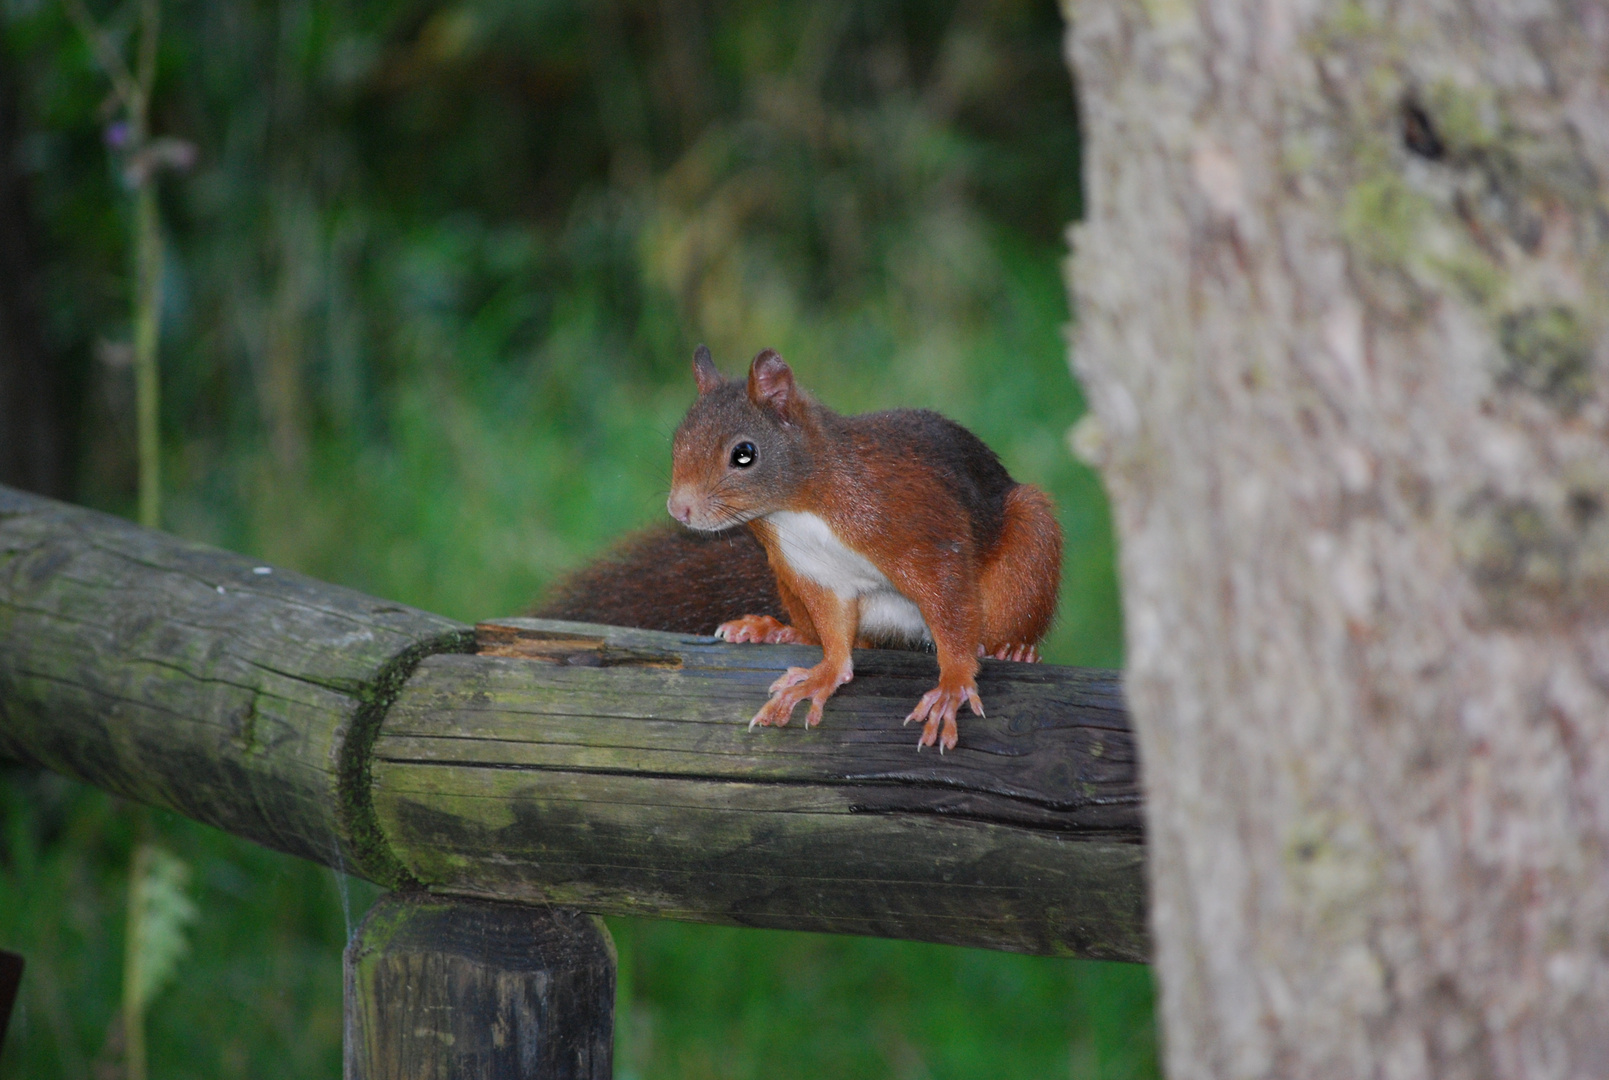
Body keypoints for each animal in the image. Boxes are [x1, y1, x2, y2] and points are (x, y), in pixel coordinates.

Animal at [659, 349, 1061, 753]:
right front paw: (821, 677)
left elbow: (950, 602)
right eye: (677, 443)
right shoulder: (812, 571)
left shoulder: (921, 530)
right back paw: (773, 630)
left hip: (1029, 547)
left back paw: (1015, 651)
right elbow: (834, 633)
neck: (797, 508)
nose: (678, 509)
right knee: (829, 635)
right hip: (786, 580)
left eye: (744, 454)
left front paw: (953, 686)